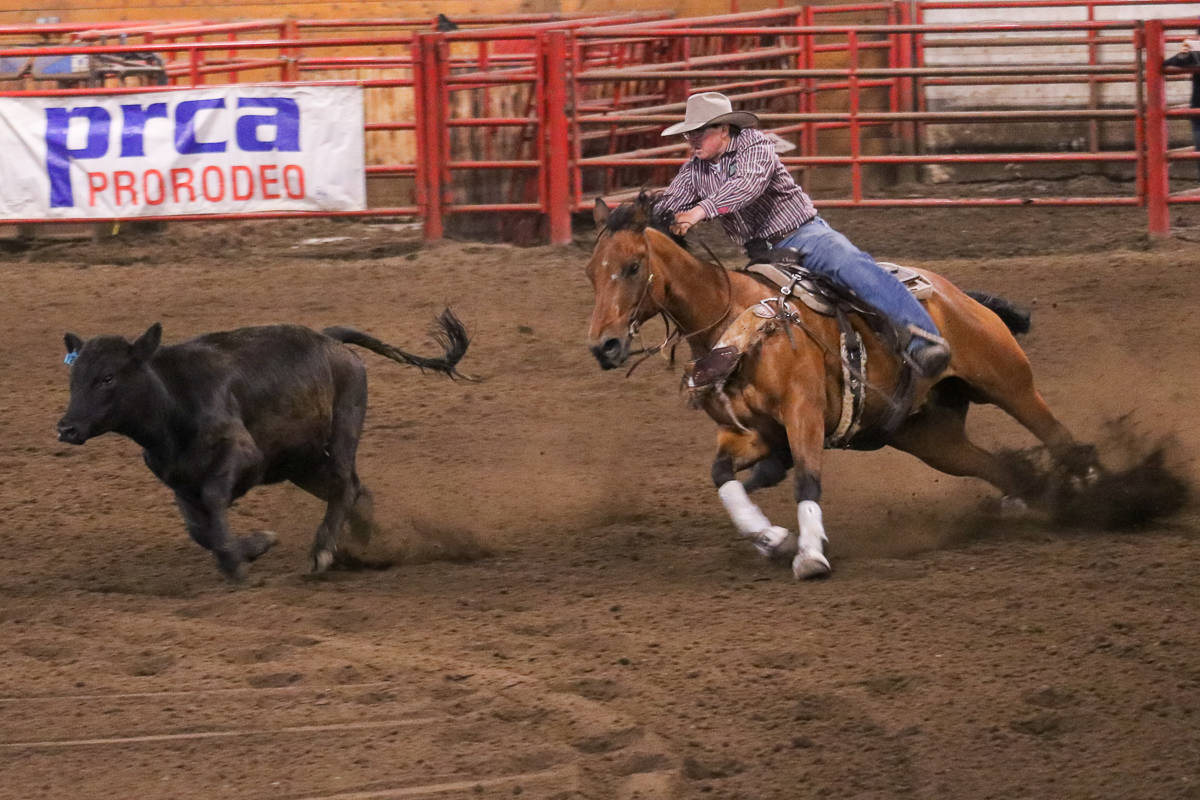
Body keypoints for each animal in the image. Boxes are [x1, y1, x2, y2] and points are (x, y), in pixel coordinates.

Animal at [583, 196, 1099, 578]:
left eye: (633, 266)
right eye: (591, 272)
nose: (604, 346)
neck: (738, 321)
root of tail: (958, 295)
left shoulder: (804, 413)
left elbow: (807, 479)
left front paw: (810, 553)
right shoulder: (751, 433)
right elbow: (722, 477)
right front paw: (770, 537)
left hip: (1008, 382)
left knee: (1059, 437)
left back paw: (1095, 486)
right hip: (930, 437)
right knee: (999, 467)